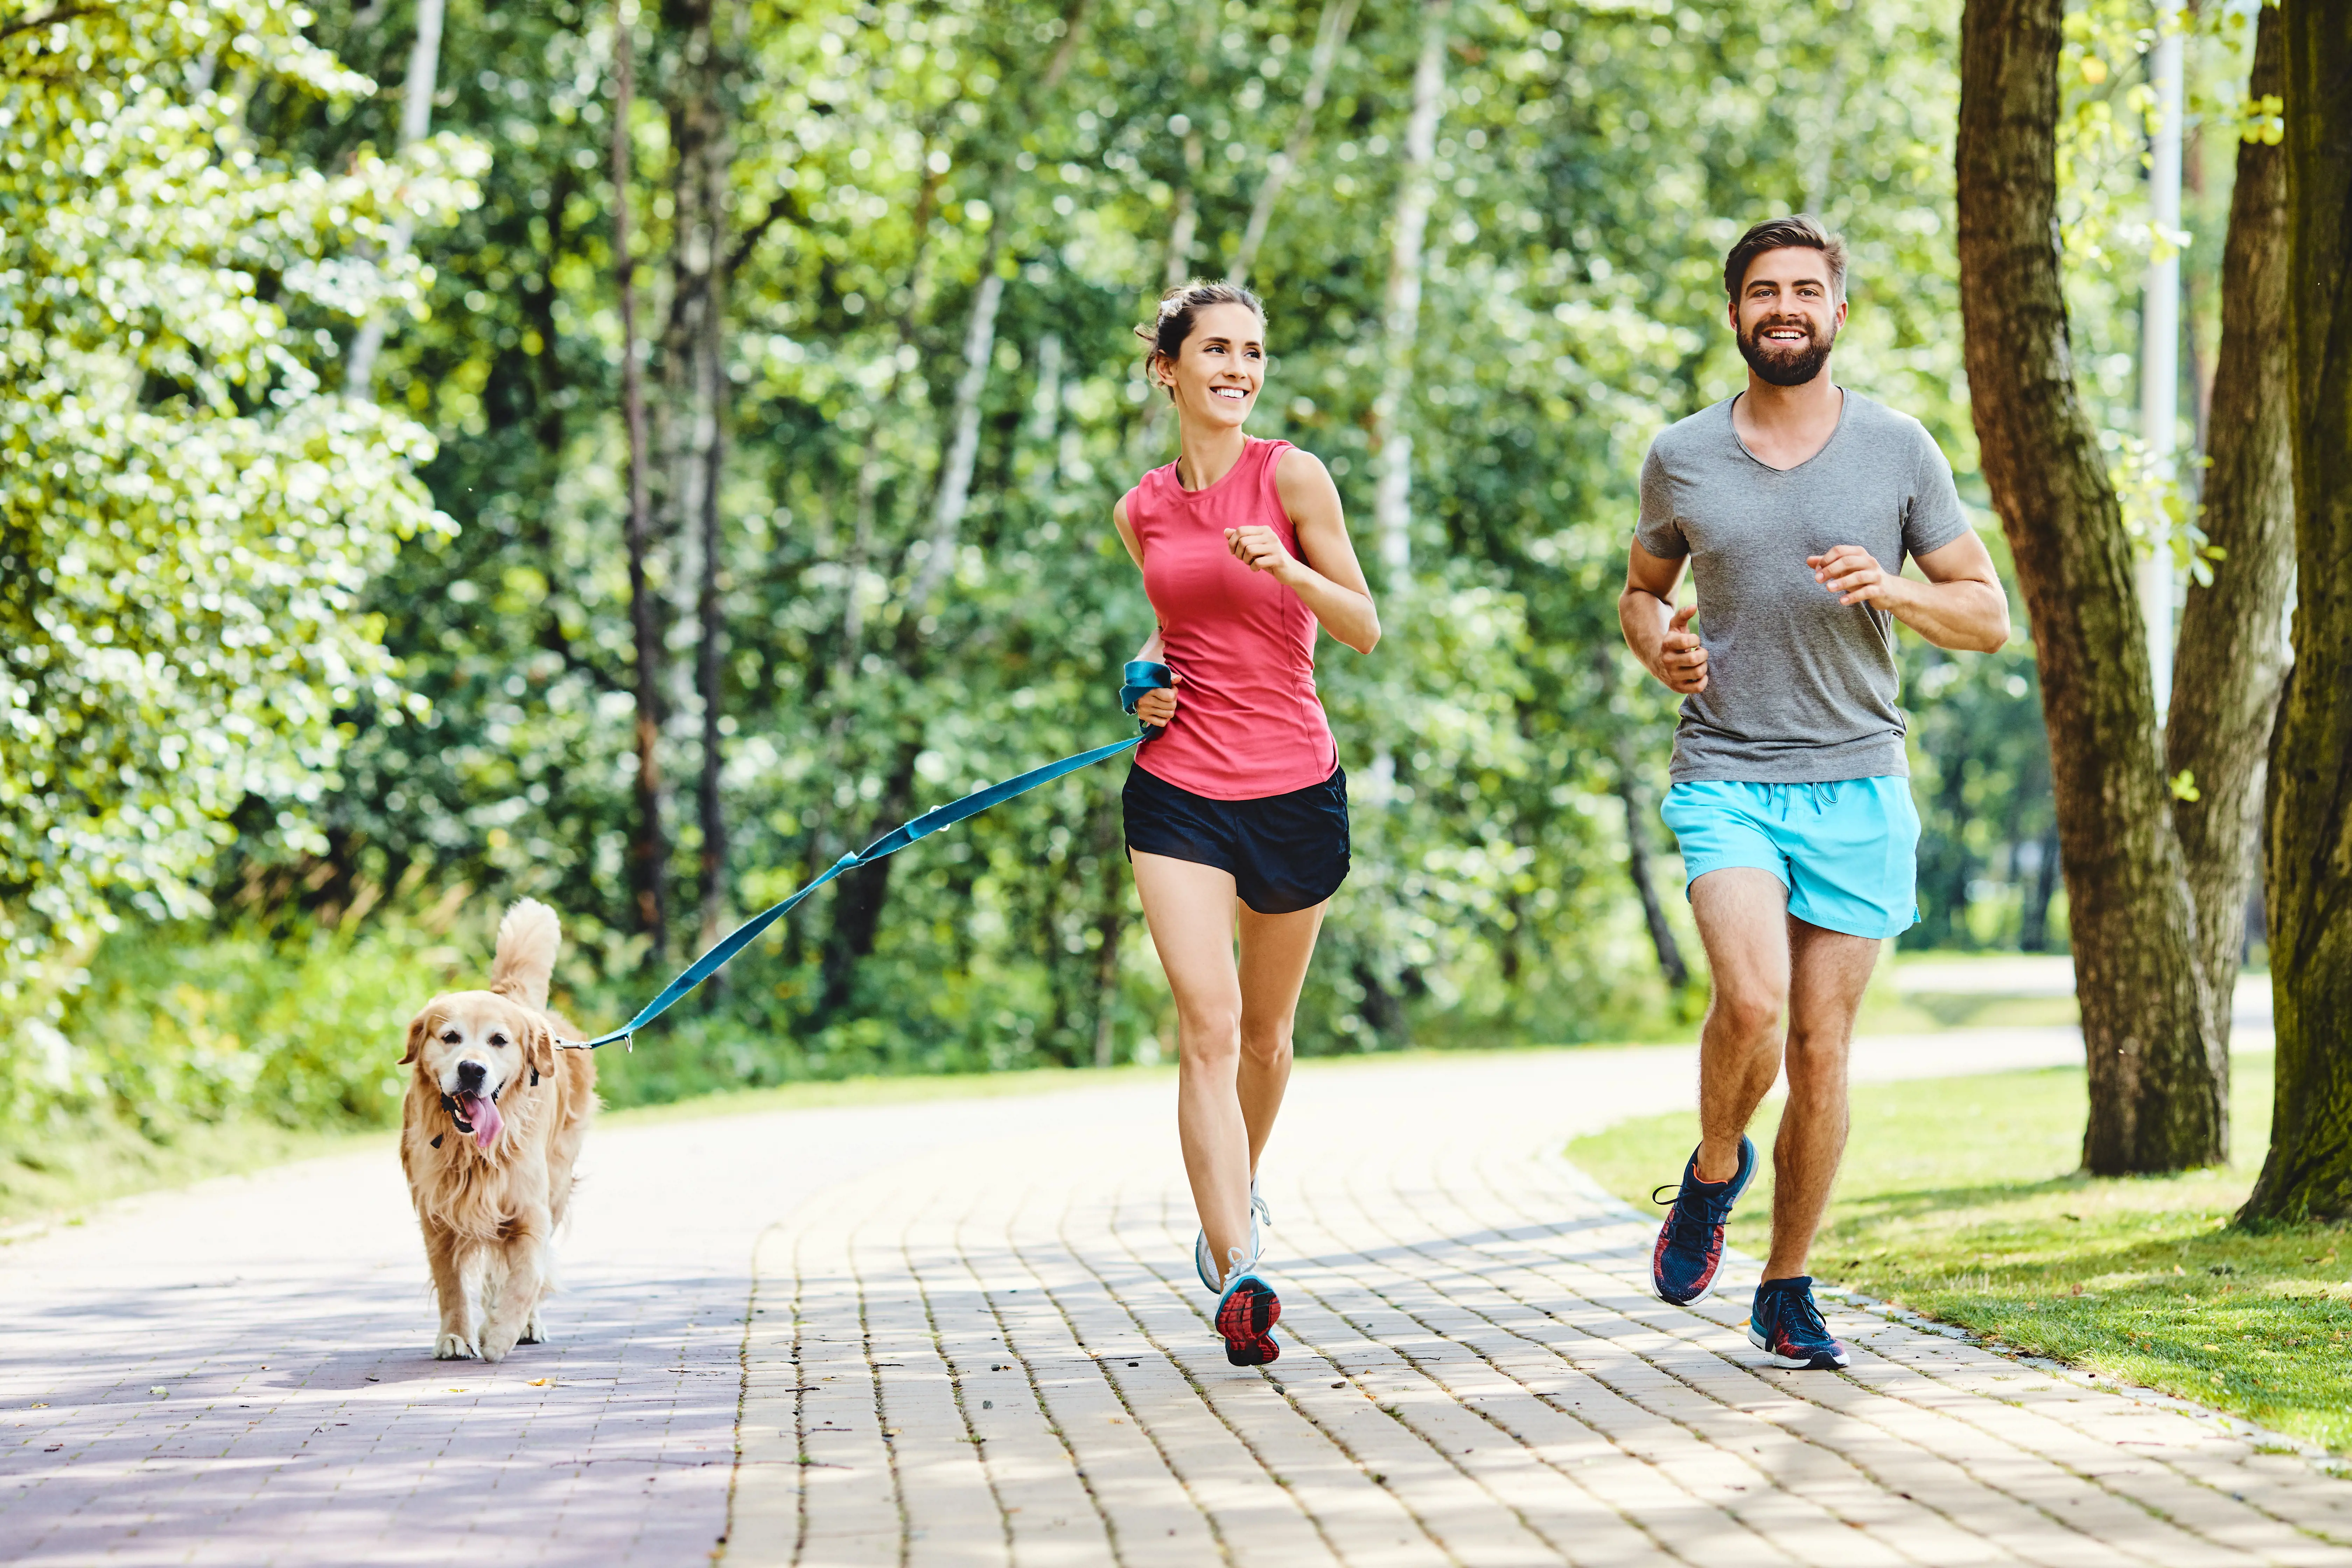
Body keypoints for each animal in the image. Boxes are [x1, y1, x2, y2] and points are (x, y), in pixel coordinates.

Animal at [400, 903, 597, 1363]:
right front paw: (456, 1336)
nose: (473, 1069)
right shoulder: (437, 1213)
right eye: (450, 1037)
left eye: (499, 1041)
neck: (473, 1150)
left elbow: (526, 1276)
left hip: (557, 1184)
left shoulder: (530, 1210)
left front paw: (500, 1333)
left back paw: (524, 1324)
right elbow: (451, 1282)